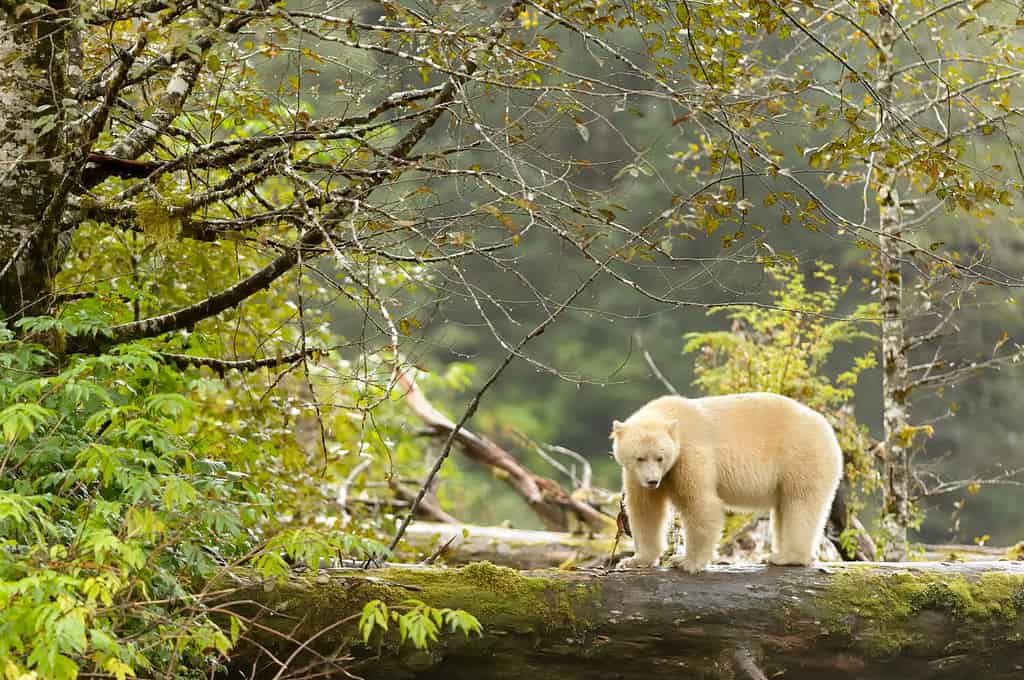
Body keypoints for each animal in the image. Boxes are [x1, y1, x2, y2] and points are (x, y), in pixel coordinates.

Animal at [610, 391, 843, 569]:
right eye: (639, 458)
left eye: (660, 457)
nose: (652, 481)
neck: (672, 415)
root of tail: (829, 431)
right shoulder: (637, 475)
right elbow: (646, 510)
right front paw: (634, 561)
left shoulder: (690, 453)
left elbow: (700, 504)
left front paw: (686, 561)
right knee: (785, 507)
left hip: (801, 455)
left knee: (800, 503)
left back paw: (786, 557)